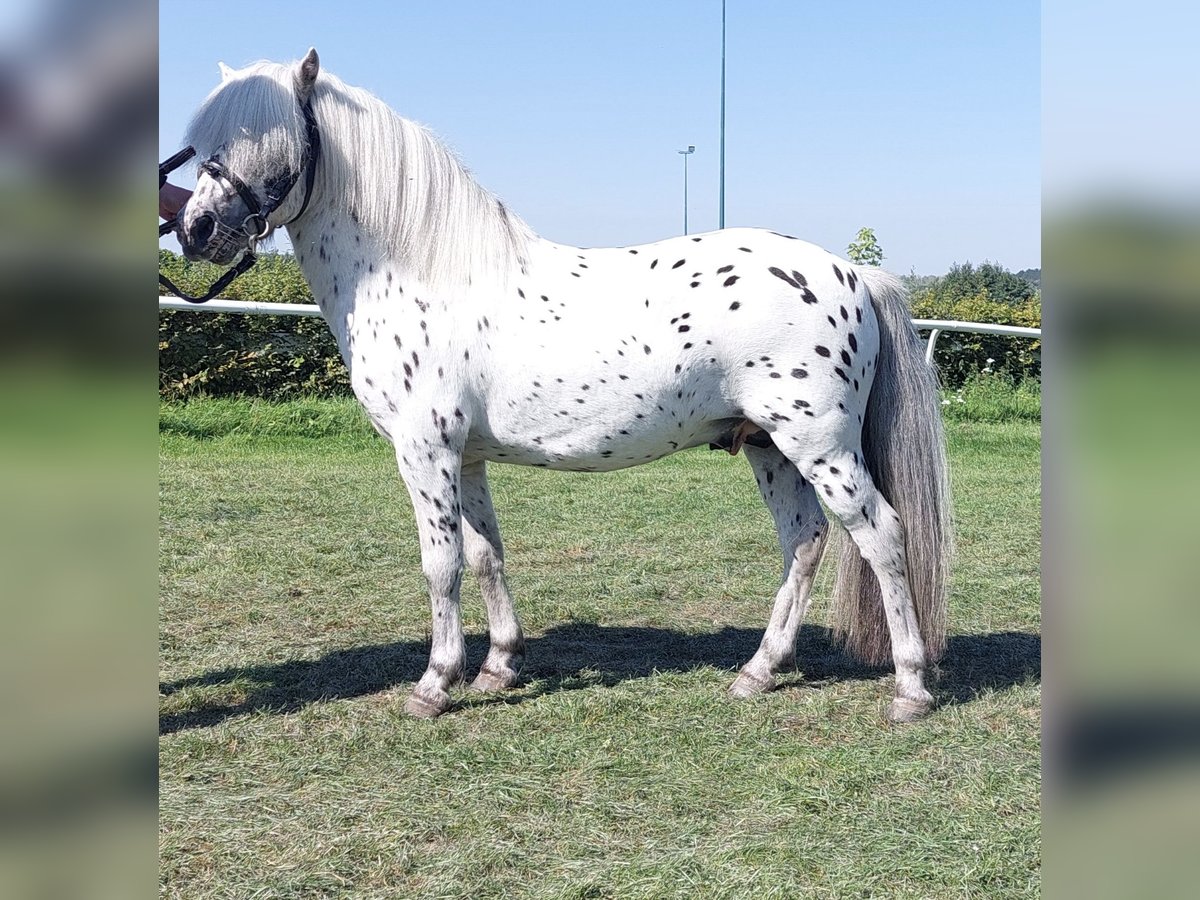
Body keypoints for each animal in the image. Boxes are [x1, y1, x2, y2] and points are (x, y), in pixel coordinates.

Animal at [173, 49, 951, 723]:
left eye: (267, 138)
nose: (195, 228)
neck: (418, 270)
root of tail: (853, 274)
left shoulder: (426, 450)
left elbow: (440, 563)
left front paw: (435, 683)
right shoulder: (469, 457)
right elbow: (485, 554)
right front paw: (498, 667)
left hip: (820, 445)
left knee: (880, 535)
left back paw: (910, 689)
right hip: (768, 446)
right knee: (805, 542)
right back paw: (757, 672)